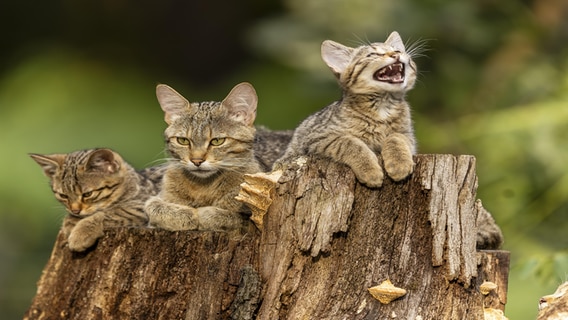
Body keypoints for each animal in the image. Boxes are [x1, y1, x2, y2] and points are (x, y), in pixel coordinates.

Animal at [30, 149, 164, 251]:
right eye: (63, 196)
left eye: (87, 194)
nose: (75, 211)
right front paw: (70, 221)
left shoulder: (144, 204)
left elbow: (108, 213)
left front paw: (81, 233)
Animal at [144, 81, 272, 231]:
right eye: (183, 140)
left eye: (217, 141)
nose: (196, 161)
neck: (202, 187)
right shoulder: (157, 200)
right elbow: (154, 207)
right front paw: (187, 215)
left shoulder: (253, 218)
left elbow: (228, 216)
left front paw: (201, 214)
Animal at [276, 30, 418, 188]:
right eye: (372, 54)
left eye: (397, 50)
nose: (396, 54)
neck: (383, 106)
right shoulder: (317, 138)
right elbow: (350, 143)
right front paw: (370, 170)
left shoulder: (408, 136)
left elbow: (396, 137)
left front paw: (399, 164)